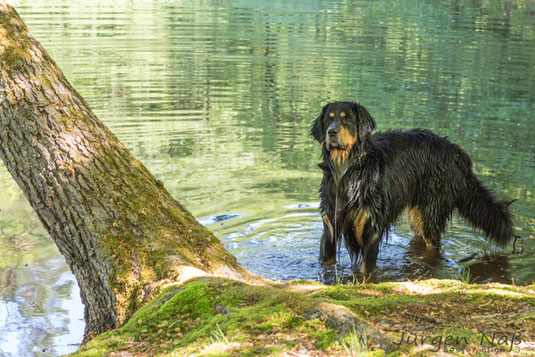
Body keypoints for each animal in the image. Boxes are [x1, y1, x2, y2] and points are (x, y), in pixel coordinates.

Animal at [312, 101, 516, 274]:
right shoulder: (330, 225)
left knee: (434, 244)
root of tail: (456, 153)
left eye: (347, 119)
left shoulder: (370, 226)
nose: (332, 132)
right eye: (328, 119)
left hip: (431, 213)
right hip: (417, 216)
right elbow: (326, 261)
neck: (346, 172)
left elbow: (366, 269)